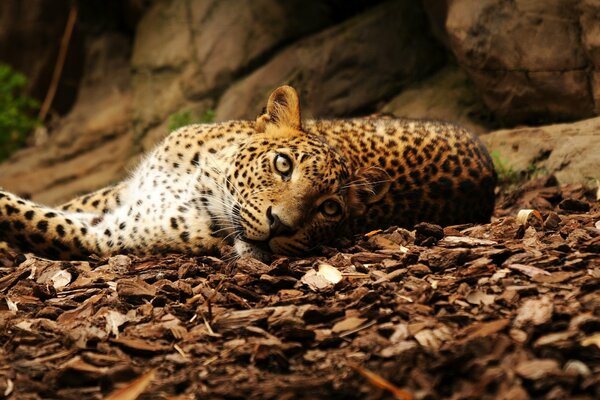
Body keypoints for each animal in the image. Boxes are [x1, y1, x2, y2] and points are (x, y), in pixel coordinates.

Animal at [0, 85, 496, 260]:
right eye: (283, 164)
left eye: (330, 209)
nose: (282, 226)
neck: (200, 181)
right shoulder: (124, 192)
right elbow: (65, 202)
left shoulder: (104, 236)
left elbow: (24, 215)